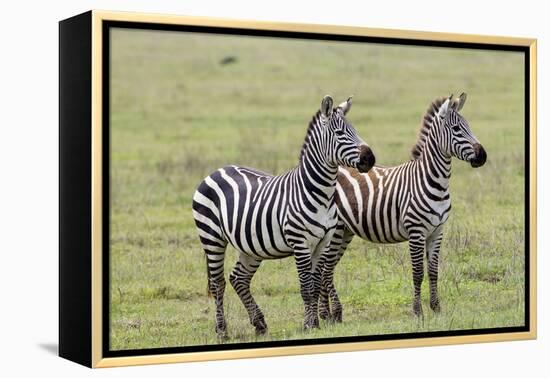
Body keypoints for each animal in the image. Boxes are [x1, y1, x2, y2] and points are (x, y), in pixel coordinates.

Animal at [192, 96, 378, 338]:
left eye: (355, 130)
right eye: (339, 133)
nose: (370, 159)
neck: (321, 193)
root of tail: (215, 171)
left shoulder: (323, 242)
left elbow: (315, 284)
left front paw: (315, 322)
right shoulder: (300, 242)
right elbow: (306, 287)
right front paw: (309, 325)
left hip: (250, 246)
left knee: (239, 278)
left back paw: (259, 323)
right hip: (211, 238)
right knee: (218, 284)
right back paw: (222, 331)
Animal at [322, 93, 490, 320]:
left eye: (469, 126)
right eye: (456, 129)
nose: (483, 156)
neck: (433, 181)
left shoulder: (437, 231)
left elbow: (434, 271)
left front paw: (436, 308)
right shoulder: (416, 232)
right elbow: (418, 273)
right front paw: (418, 312)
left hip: (345, 231)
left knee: (325, 269)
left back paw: (328, 315)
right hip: (335, 231)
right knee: (324, 270)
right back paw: (330, 314)